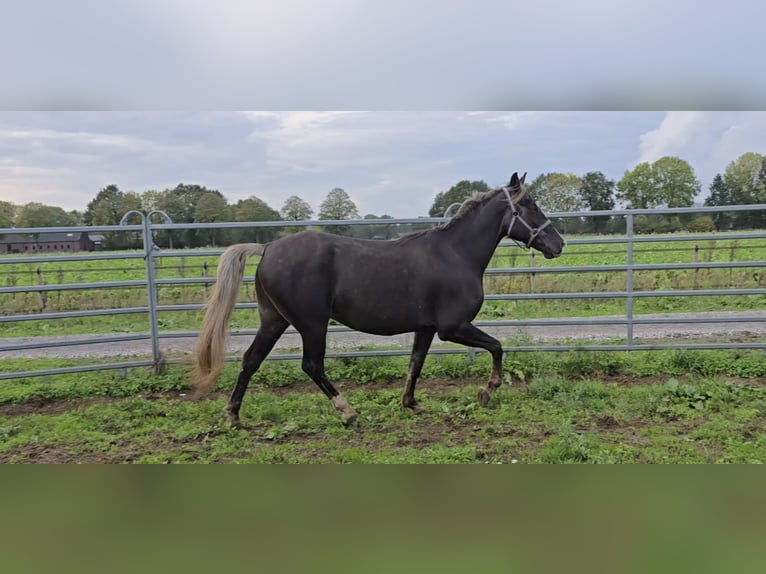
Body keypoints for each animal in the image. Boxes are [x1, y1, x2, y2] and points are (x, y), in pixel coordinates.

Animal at [193, 172, 565, 427]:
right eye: (530, 205)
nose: (558, 243)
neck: (455, 254)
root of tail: (268, 248)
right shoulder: (453, 327)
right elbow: (497, 347)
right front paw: (487, 391)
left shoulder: (426, 328)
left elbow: (416, 363)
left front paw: (411, 403)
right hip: (312, 324)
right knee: (311, 365)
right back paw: (348, 412)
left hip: (274, 320)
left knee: (251, 360)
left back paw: (233, 415)